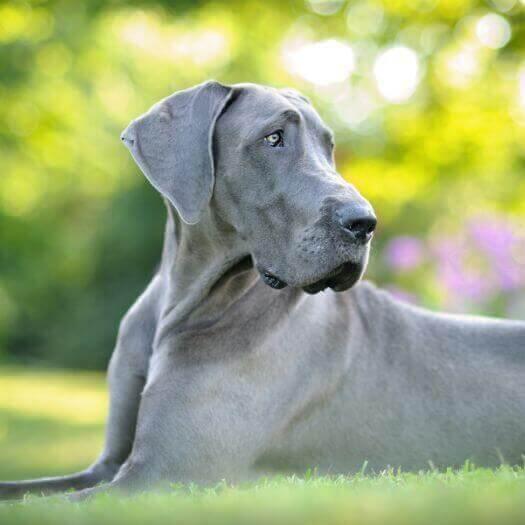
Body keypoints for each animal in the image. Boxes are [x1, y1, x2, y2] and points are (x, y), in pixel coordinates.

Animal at [1, 80, 524, 498]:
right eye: (273, 138)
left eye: (328, 147)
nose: (365, 222)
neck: (184, 300)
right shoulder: (109, 466)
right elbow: (25, 492)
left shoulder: (158, 475)